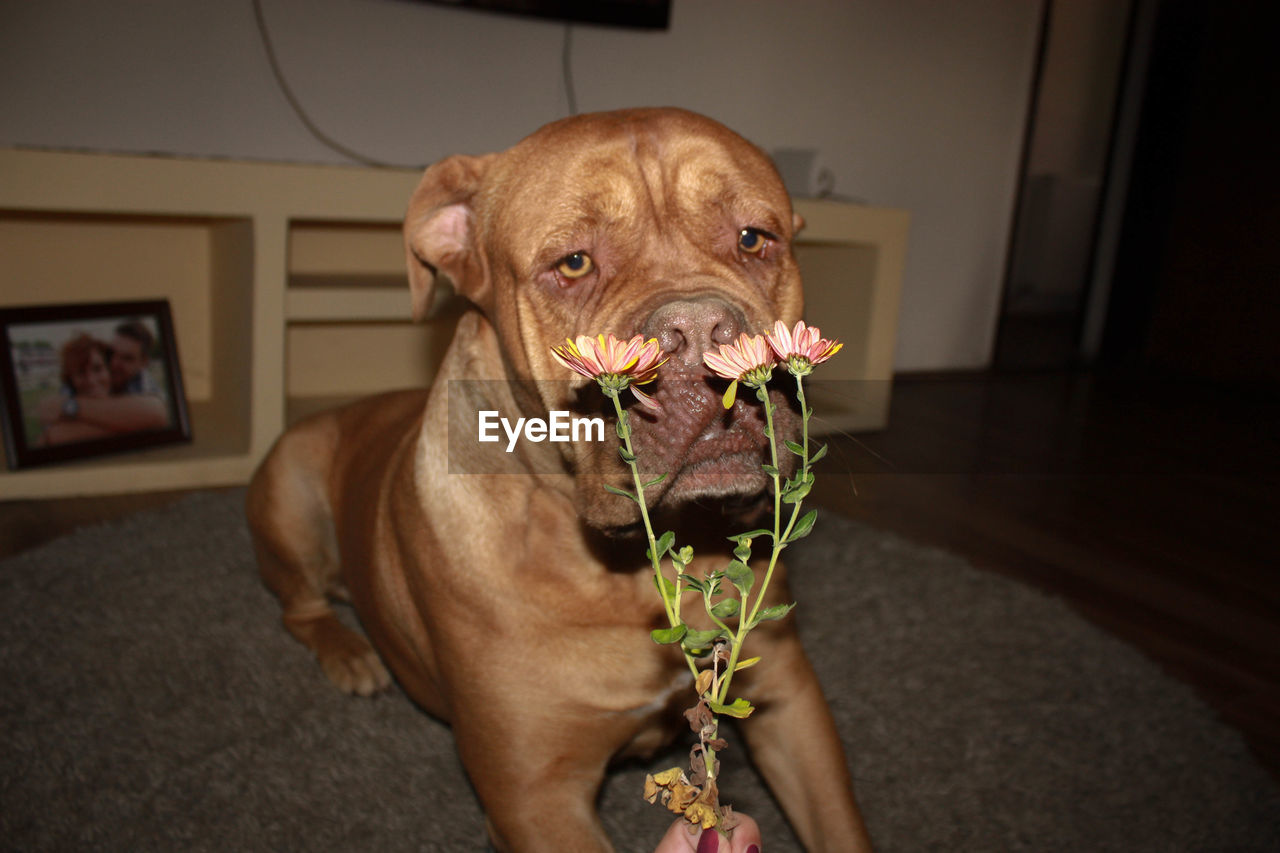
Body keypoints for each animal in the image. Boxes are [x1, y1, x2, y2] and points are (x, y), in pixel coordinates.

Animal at [245, 109, 875, 845]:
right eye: (572, 263)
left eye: (754, 238)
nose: (701, 328)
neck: (631, 574)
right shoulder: (535, 796)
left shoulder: (790, 703)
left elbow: (840, 827)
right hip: (288, 490)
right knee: (300, 605)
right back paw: (349, 653)